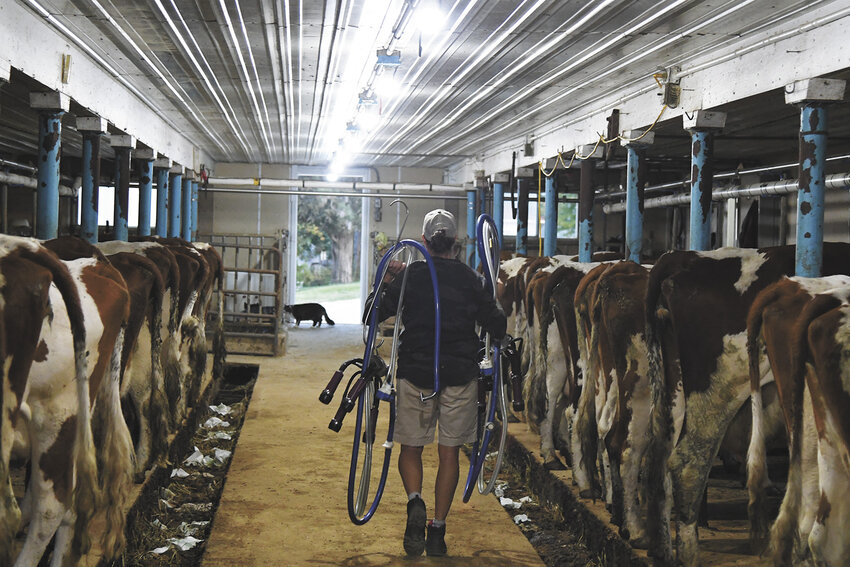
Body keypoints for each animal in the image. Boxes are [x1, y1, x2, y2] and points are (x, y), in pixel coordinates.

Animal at [644, 245, 848, 567]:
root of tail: (686, 256)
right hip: (720, 386)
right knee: (688, 462)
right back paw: (688, 554)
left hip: (672, 387)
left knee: (657, 453)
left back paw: (661, 550)